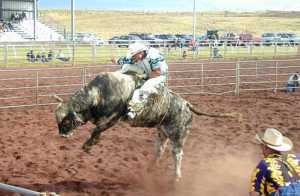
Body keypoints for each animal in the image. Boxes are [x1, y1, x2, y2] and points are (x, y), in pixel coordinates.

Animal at [54, 71, 241, 180]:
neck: (98, 95)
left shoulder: (113, 118)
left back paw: (176, 176)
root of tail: (187, 105)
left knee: (177, 154)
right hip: (162, 132)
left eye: (66, 121)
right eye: (58, 122)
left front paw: (88, 145)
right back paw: (152, 167)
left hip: (178, 136)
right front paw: (92, 142)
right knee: (160, 150)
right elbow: (97, 131)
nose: (62, 135)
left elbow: (95, 129)